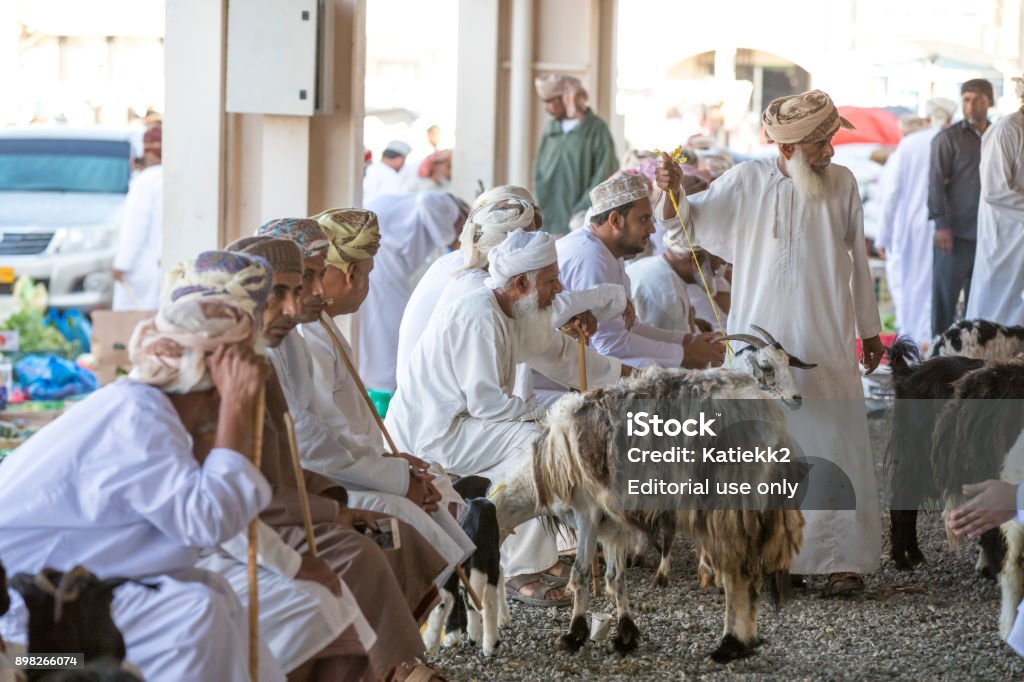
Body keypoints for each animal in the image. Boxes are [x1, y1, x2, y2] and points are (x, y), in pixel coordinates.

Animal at [489, 350, 806, 659]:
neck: (542, 472)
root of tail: (767, 412)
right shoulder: (612, 524)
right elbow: (615, 577)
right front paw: (625, 635)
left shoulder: (586, 512)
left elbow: (580, 573)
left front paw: (574, 634)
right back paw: (746, 640)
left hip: (727, 503)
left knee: (735, 571)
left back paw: (730, 644)